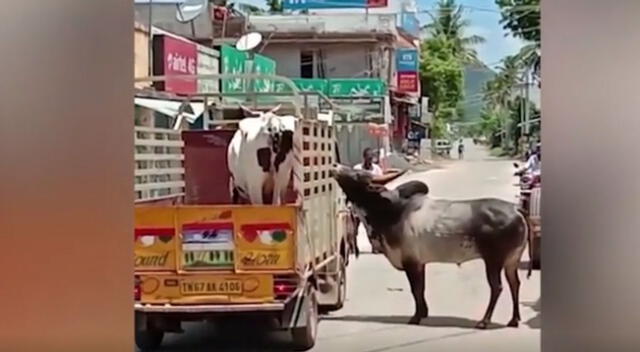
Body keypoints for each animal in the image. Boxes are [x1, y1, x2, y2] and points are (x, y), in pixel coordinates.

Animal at [332, 166, 532, 328]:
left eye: (358, 175)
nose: (336, 166)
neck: (393, 211)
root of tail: (516, 209)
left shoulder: (411, 263)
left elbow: (416, 289)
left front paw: (416, 317)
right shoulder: (420, 264)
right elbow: (421, 289)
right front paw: (424, 312)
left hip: (493, 261)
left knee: (497, 287)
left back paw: (484, 321)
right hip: (511, 261)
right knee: (515, 284)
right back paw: (514, 320)